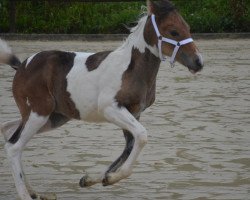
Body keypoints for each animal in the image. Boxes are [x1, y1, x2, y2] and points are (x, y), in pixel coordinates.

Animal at [0, 0, 203, 199]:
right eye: (173, 31)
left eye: (188, 27)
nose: (198, 62)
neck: (131, 69)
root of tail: (22, 66)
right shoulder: (110, 109)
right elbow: (142, 136)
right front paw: (110, 178)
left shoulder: (134, 113)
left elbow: (129, 146)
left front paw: (93, 179)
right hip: (39, 112)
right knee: (13, 146)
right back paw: (25, 195)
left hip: (53, 117)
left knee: (9, 130)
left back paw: (34, 192)